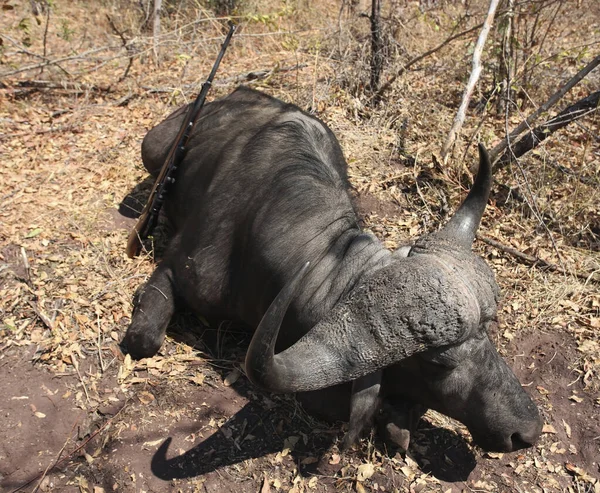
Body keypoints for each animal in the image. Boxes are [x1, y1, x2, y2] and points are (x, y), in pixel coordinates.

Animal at [122, 84, 544, 450]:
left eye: (489, 334)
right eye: (438, 363)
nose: (526, 431)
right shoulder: (174, 270)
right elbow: (145, 339)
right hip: (151, 149)